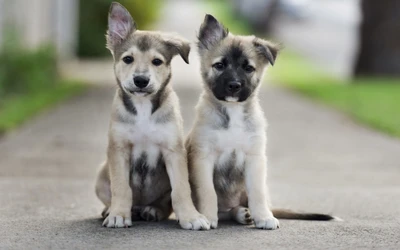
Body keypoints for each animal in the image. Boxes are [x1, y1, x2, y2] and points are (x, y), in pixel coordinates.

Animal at [95, 1, 211, 230]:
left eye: (157, 61)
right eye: (128, 59)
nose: (141, 80)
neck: (143, 109)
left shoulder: (173, 150)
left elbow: (181, 189)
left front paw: (191, 217)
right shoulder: (119, 149)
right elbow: (121, 187)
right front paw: (118, 214)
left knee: (165, 204)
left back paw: (152, 210)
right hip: (102, 174)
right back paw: (111, 210)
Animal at [187, 13, 338, 229]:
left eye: (248, 68)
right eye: (220, 65)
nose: (234, 85)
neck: (233, 113)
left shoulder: (254, 158)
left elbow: (257, 193)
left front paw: (264, 217)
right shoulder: (203, 157)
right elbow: (207, 192)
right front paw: (207, 217)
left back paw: (245, 214)